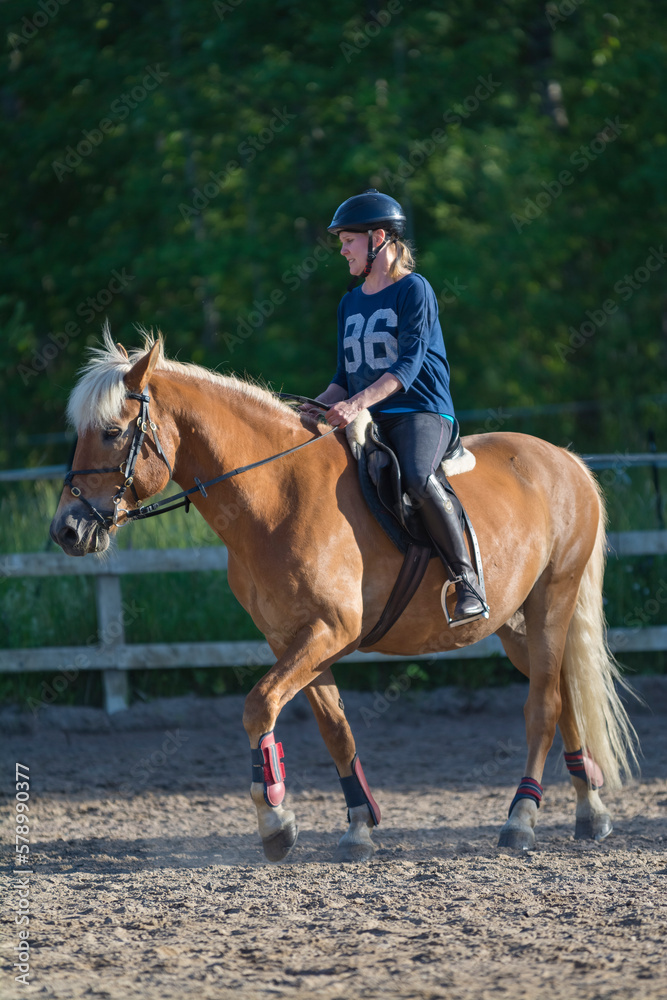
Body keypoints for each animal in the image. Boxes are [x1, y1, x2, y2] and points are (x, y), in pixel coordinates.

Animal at [51, 332, 636, 864]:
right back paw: (591, 811)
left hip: (552, 601)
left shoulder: (329, 631)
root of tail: (566, 461)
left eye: (111, 433)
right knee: (560, 693)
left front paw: (275, 821)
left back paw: (521, 818)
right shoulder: (294, 640)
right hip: (517, 625)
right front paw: (356, 827)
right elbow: (335, 729)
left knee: (543, 705)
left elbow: (258, 705)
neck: (278, 495)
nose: (67, 531)